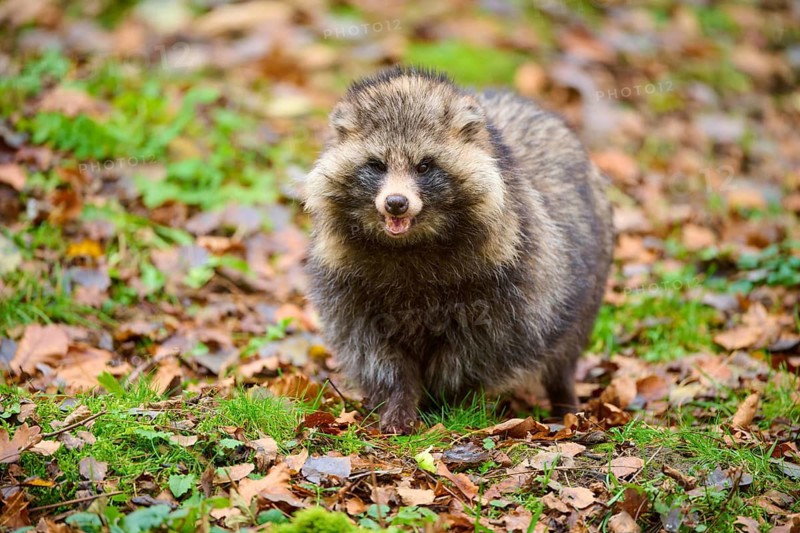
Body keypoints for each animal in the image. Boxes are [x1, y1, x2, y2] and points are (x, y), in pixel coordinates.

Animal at [304, 67, 613, 433]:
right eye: (377, 165)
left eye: (424, 166)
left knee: (564, 349)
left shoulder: (508, 279)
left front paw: (447, 400)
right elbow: (373, 349)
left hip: (588, 280)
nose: (396, 203)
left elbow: (476, 348)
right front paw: (399, 399)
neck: (410, 245)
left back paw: (564, 400)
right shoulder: (347, 282)